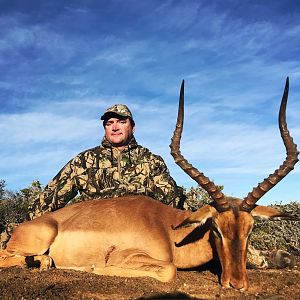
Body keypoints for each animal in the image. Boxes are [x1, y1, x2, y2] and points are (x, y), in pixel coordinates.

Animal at [0, 78, 298, 290]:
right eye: (216, 228)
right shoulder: (133, 257)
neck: (168, 229)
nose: (237, 284)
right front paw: (92, 268)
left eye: (250, 229)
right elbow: (169, 270)